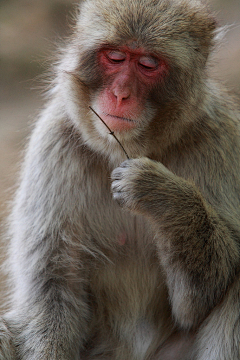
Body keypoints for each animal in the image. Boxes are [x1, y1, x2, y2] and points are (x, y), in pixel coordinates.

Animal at [0, 0, 240, 360]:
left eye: (148, 64)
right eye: (114, 57)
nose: (120, 94)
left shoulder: (220, 138)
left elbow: (196, 302)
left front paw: (164, 197)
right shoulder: (55, 142)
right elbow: (53, 295)